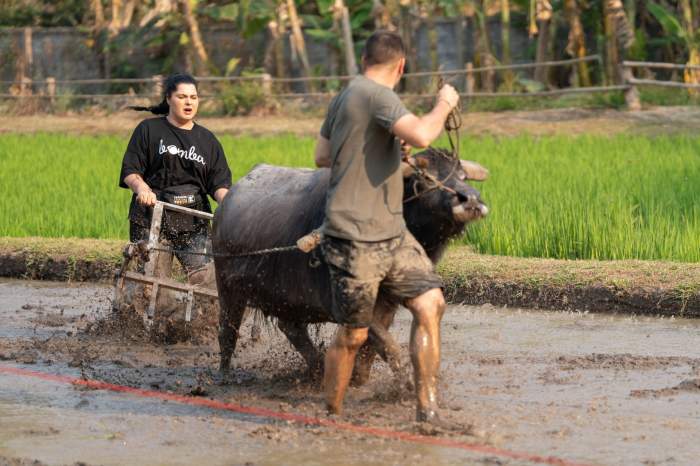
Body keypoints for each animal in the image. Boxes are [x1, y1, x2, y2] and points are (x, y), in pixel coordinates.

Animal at [211, 148, 490, 382]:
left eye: (462, 175)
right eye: (427, 178)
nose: (471, 200)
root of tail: (225, 204)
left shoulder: (387, 303)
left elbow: (371, 345)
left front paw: (360, 377)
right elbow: (384, 343)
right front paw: (406, 382)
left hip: (287, 297)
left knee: (291, 328)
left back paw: (317, 368)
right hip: (229, 290)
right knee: (228, 331)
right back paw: (224, 373)